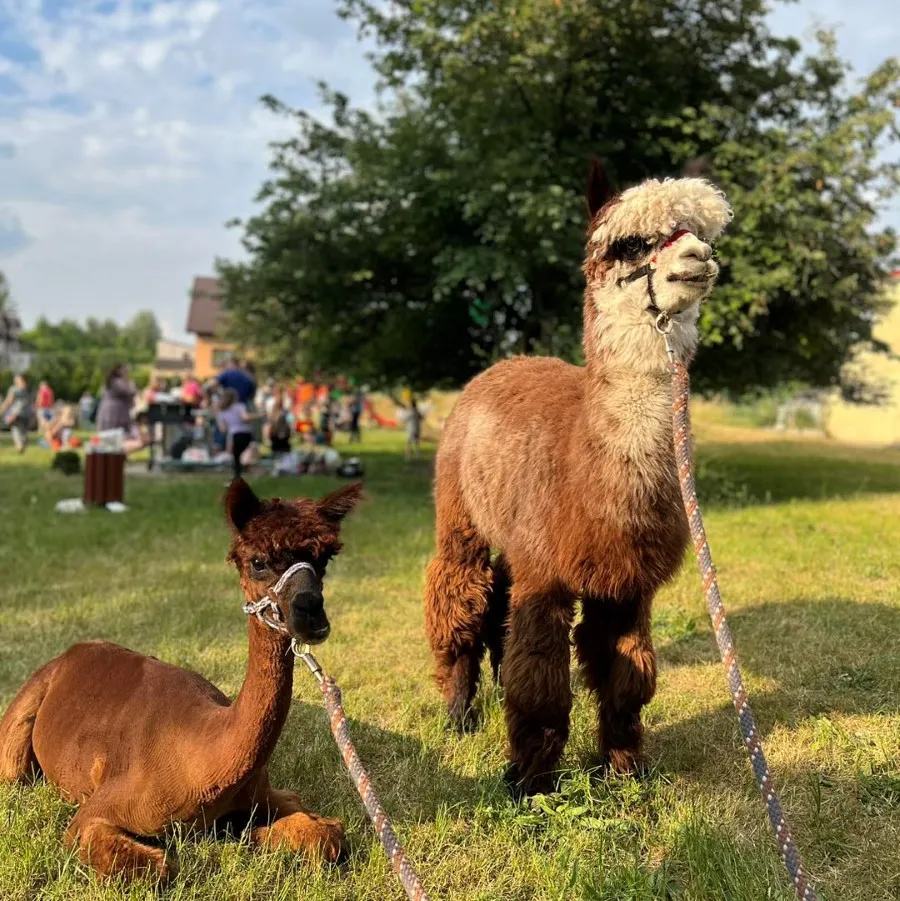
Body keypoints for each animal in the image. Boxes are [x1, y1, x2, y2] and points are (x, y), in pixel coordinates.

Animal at [0, 478, 363, 881]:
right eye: (259, 562)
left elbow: (327, 835)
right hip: (20, 731)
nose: (311, 613)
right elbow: (156, 866)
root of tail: (76, 649)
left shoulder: (268, 794)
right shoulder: (94, 813)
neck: (203, 758)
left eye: (324, 560)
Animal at [424, 160, 732, 796]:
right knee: (460, 597)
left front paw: (625, 768)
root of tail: (507, 362)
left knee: (498, 602)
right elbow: (542, 682)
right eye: (630, 244)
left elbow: (628, 677)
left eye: (703, 234)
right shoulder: (549, 571)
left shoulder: (627, 583)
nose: (698, 257)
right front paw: (529, 783)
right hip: (459, 511)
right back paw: (460, 713)